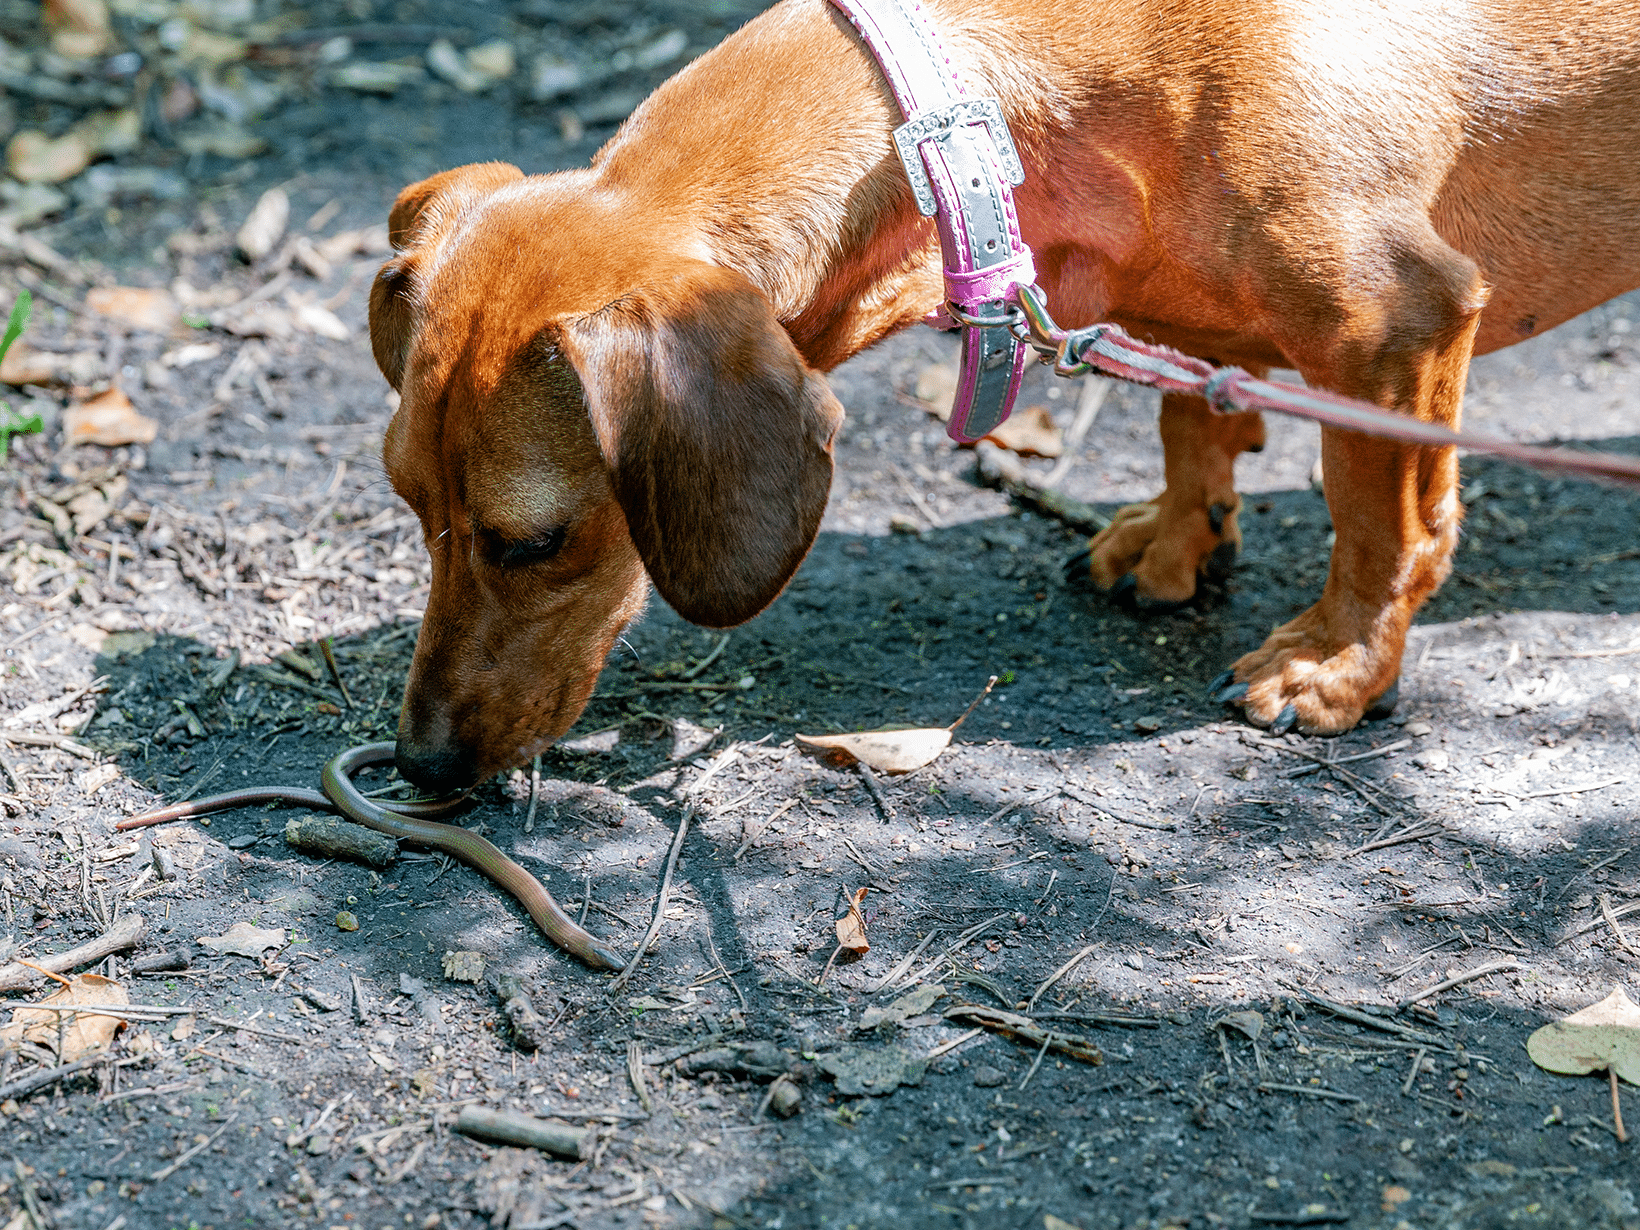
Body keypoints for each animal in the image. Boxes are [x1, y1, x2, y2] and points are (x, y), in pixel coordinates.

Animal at [372, 0, 1640, 790]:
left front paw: (1337, 660)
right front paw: (1178, 534)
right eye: (408, 505)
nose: (418, 767)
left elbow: (1385, 529)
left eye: (533, 542)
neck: (965, 126)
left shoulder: (1395, 327)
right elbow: (1189, 414)